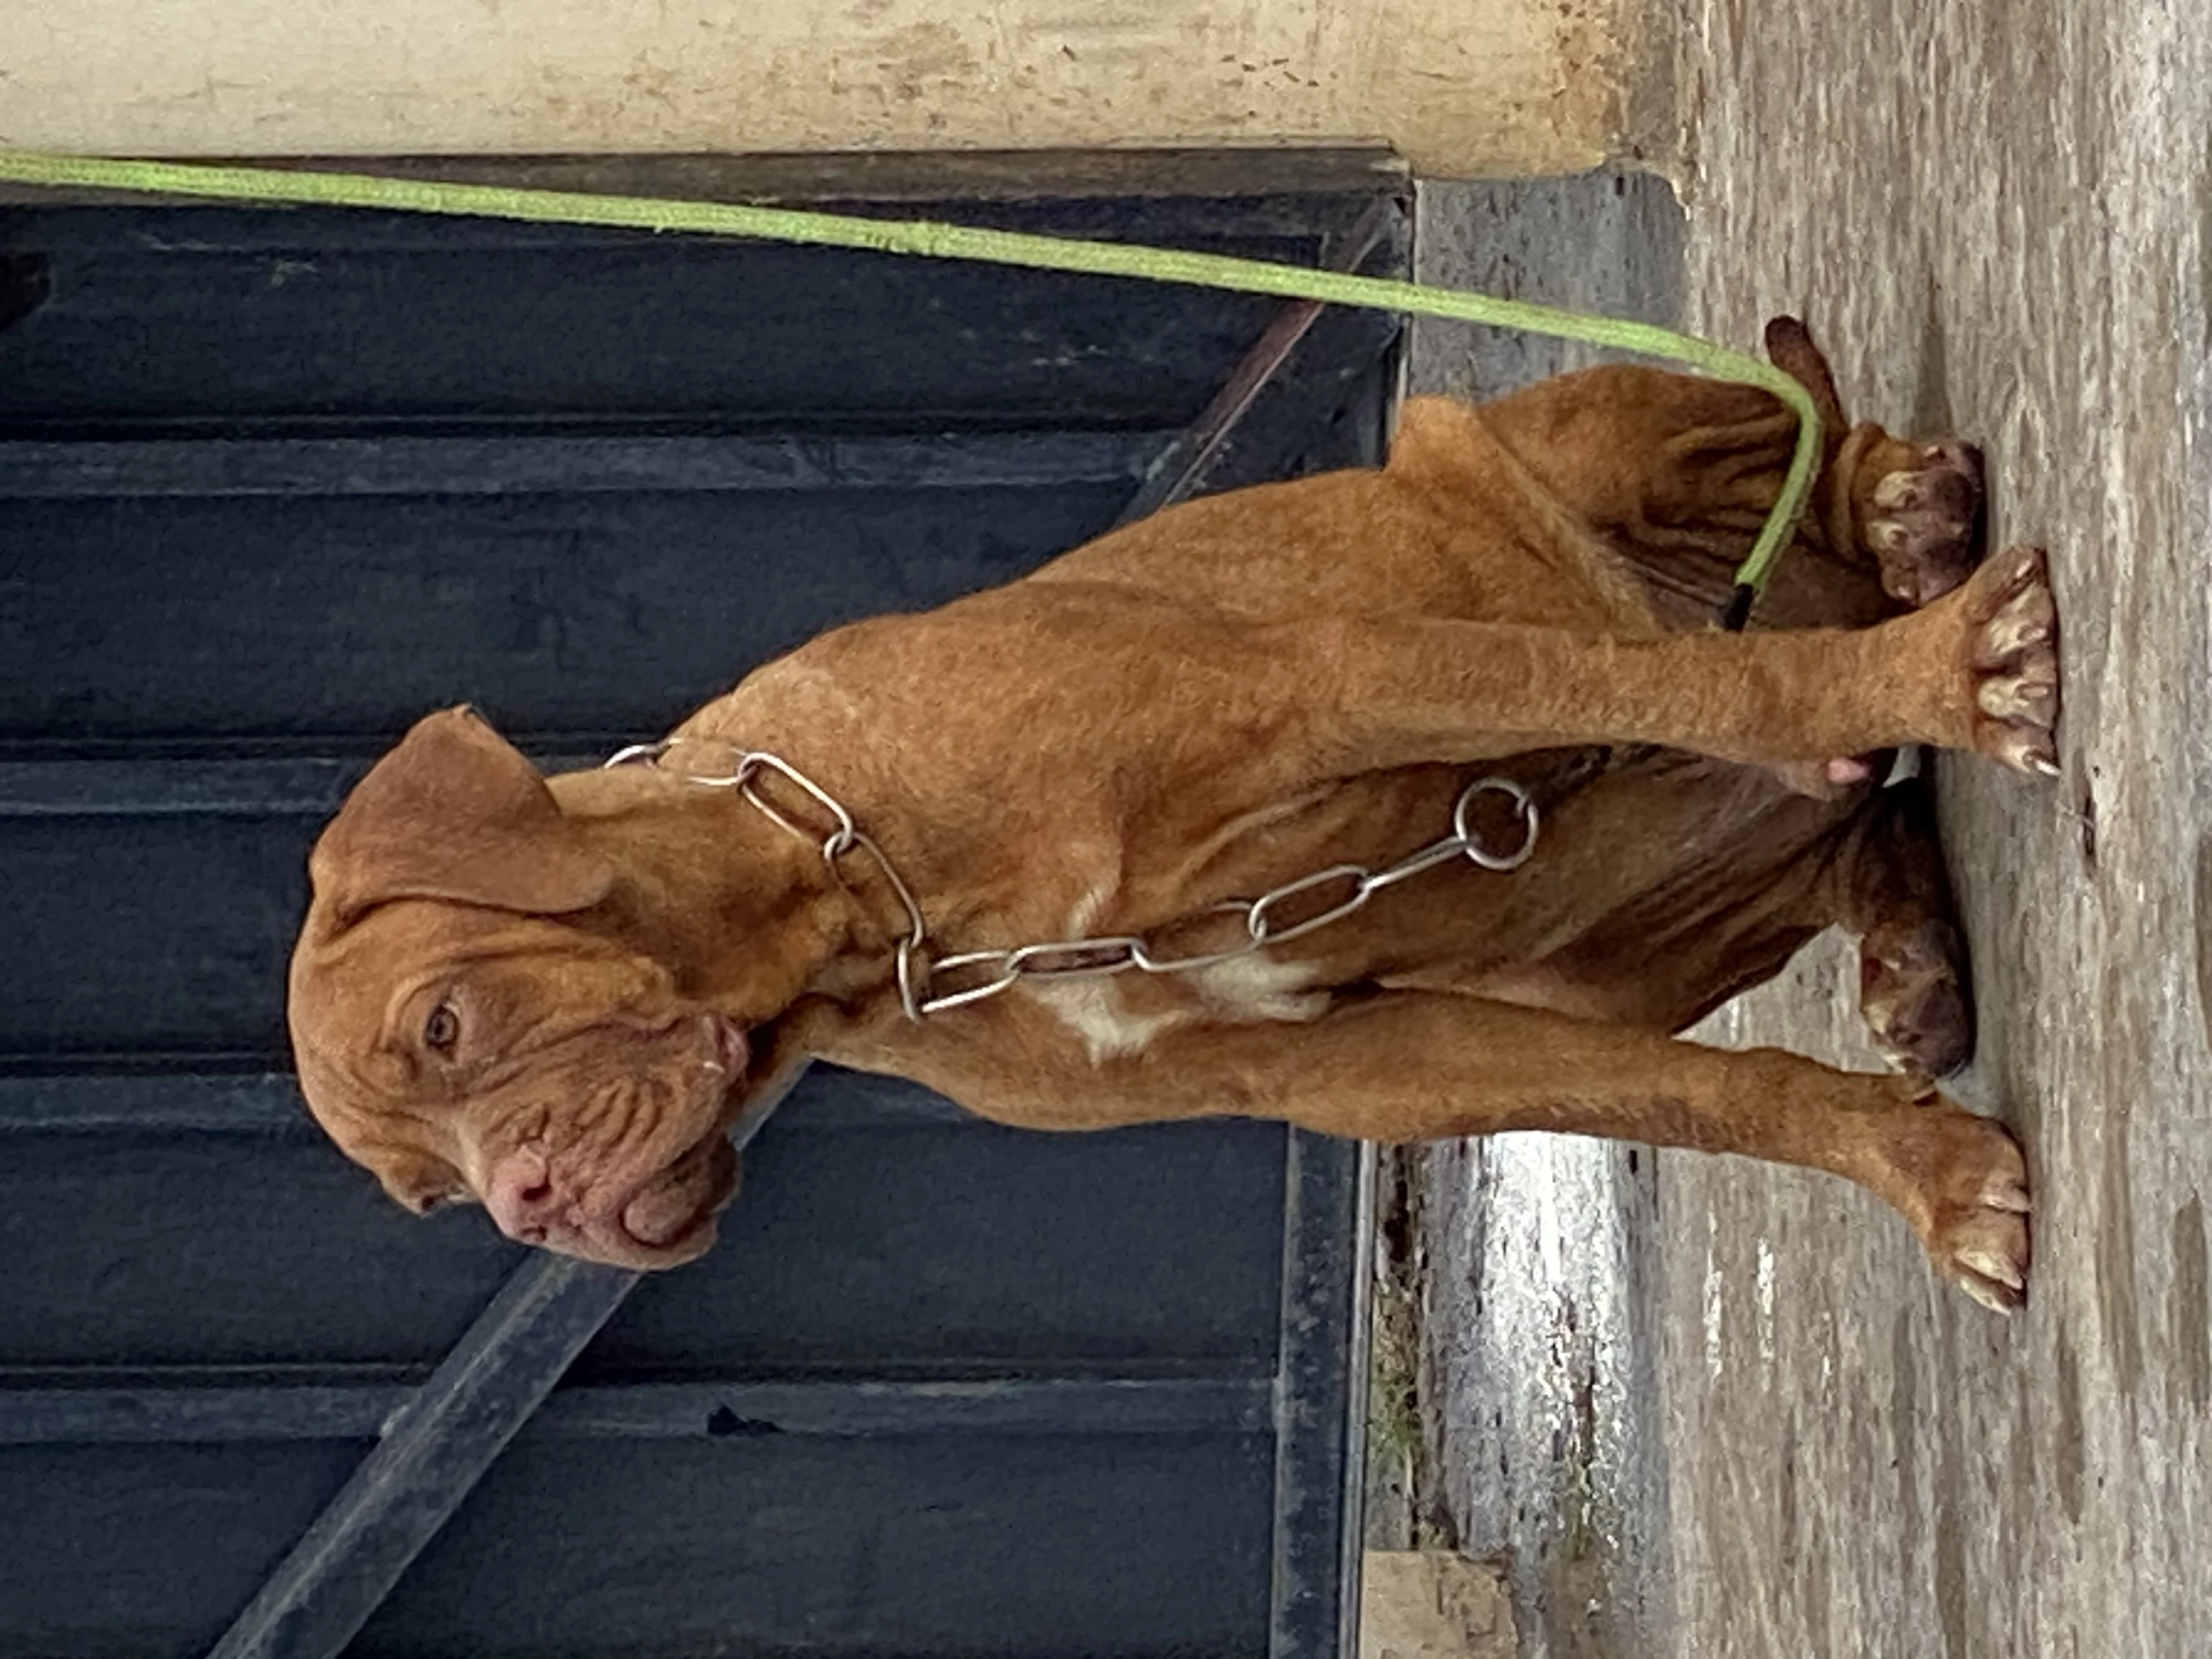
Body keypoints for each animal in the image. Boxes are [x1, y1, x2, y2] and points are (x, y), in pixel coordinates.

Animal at [290, 320, 2052, 1309]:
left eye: (447, 1026)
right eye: (427, 1196)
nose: (532, 1212)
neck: (864, 897)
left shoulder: (1345, 683)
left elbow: (1717, 688)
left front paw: (1929, 677)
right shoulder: (1359, 1065)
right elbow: (1703, 1101)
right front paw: (1925, 1177)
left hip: (1545, 441)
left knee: (1800, 470)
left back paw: (1903, 527)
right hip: (1593, 963)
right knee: (1832, 840)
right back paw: (1902, 941)